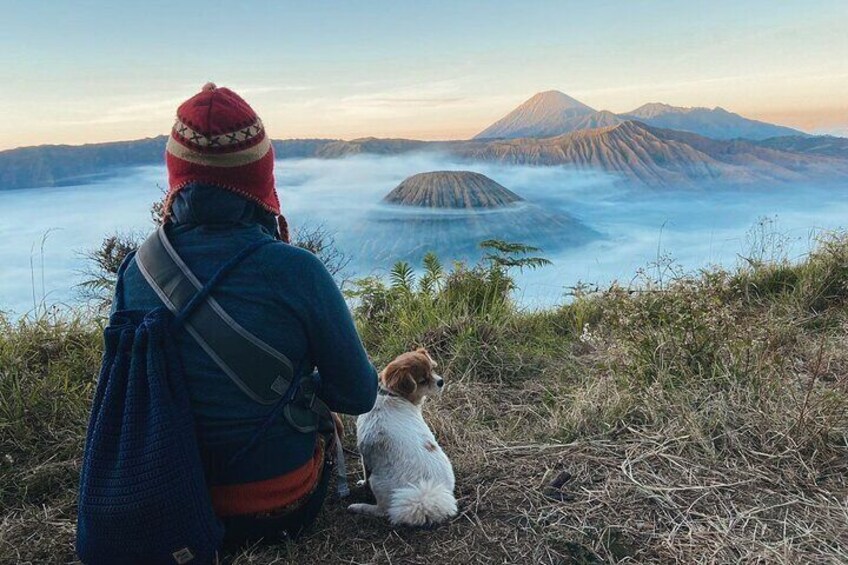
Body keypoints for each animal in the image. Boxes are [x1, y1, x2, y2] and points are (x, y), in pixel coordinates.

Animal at [348, 346, 458, 528]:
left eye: (432, 369)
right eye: (423, 380)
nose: (441, 381)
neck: (389, 394)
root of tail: (425, 497)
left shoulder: (365, 454)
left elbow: (365, 472)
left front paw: (362, 484)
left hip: (377, 482)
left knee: (382, 511)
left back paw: (360, 507)